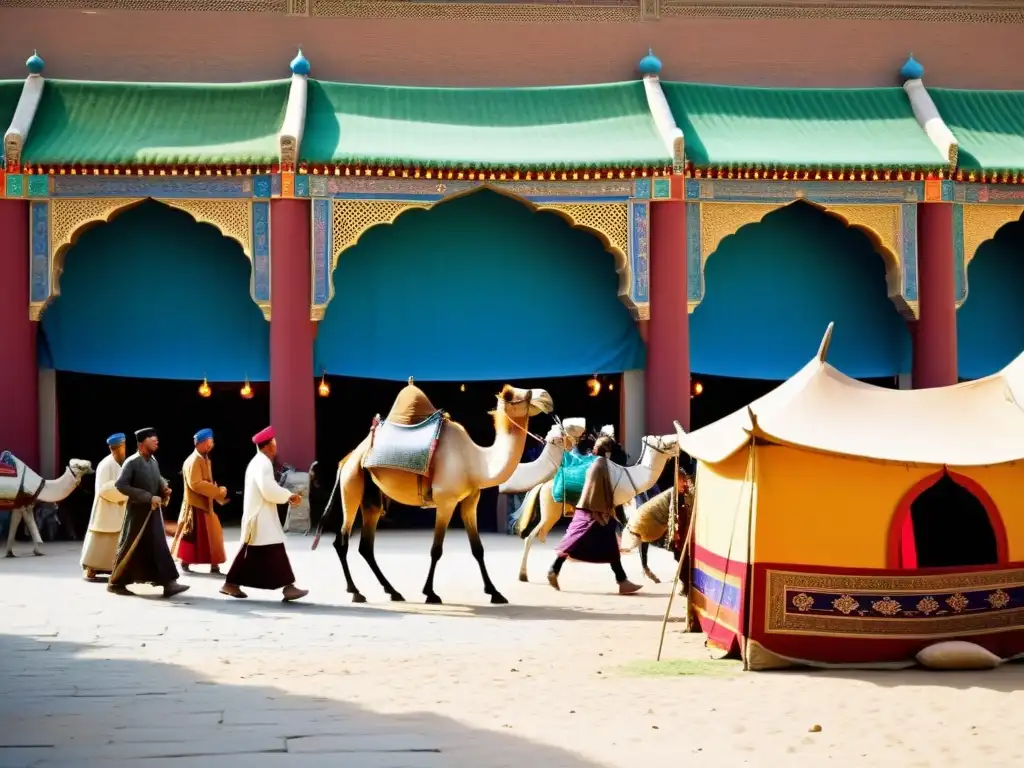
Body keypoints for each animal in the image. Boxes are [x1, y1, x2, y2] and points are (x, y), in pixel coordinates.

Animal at [319, 382, 552, 606]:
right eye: (512, 395)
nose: (546, 396)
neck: (476, 461)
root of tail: (346, 459)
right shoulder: (446, 501)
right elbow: (436, 549)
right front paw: (430, 593)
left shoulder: (470, 500)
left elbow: (478, 548)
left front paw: (495, 593)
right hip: (351, 484)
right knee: (342, 539)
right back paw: (356, 592)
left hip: (371, 497)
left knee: (366, 546)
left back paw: (393, 592)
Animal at [512, 434, 679, 581]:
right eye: (660, 439)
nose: (677, 441)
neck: (633, 479)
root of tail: (542, 485)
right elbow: (639, 542)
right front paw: (650, 575)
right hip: (549, 515)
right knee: (530, 537)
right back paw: (523, 574)